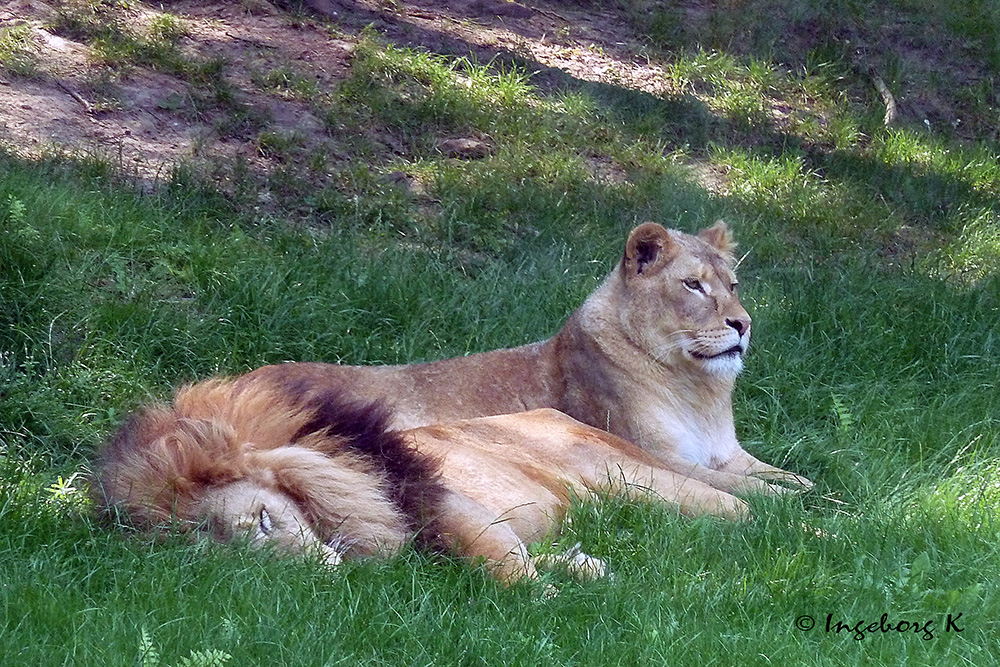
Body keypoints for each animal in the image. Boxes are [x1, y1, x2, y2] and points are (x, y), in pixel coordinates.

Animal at [95, 380, 752, 584]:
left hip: (647, 484)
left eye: (263, 520)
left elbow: (500, 563)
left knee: (744, 512)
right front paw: (583, 569)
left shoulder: (442, 503)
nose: (321, 573)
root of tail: (561, 415)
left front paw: (544, 597)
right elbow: (523, 554)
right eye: (240, 555)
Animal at [240, 222, 812, 498]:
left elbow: (792, 475)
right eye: (694, 285)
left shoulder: (728, 453)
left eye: (734, 286)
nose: (743, 324)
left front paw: (817, 491)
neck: (698, 390)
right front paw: (806, 508)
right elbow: (747, 486)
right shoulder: (655, 452)